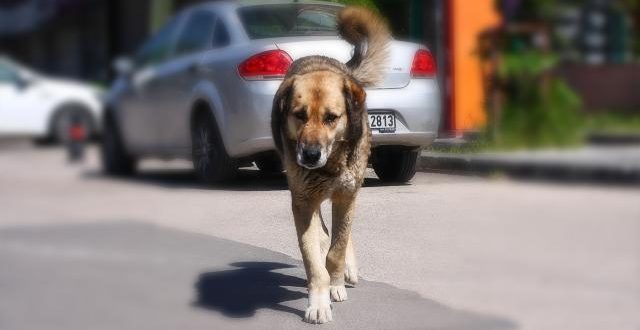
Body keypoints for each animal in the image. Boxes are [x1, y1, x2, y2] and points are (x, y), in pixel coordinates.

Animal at [270, 5, 390, 324]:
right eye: (299, 115)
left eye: (331, 118)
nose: (310, 155)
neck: (330, 165)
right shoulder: (302, 201)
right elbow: (313, 259)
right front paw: (318, 301)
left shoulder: (345, 196)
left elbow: (337, 249)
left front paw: (336, 283)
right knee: (324, 233)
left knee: (341, 236)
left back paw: (346, 269)